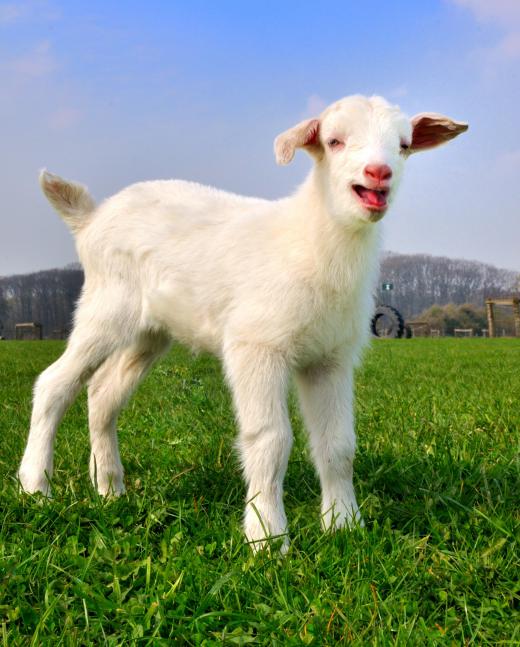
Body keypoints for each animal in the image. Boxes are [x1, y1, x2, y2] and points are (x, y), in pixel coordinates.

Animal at [19, 96, 468, 552]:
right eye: (334, 141)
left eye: (404, 145)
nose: (379, 173)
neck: (309, 243)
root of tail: (90, 219)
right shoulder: (255, 345)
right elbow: (270, 439)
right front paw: (267, 537)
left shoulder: (330, 357)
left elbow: (338, 444)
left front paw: (344, 526)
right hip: (106, 305)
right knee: (55, 383)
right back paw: (36, 486)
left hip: (149, 331)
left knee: (102, 393)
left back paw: (110, 488)